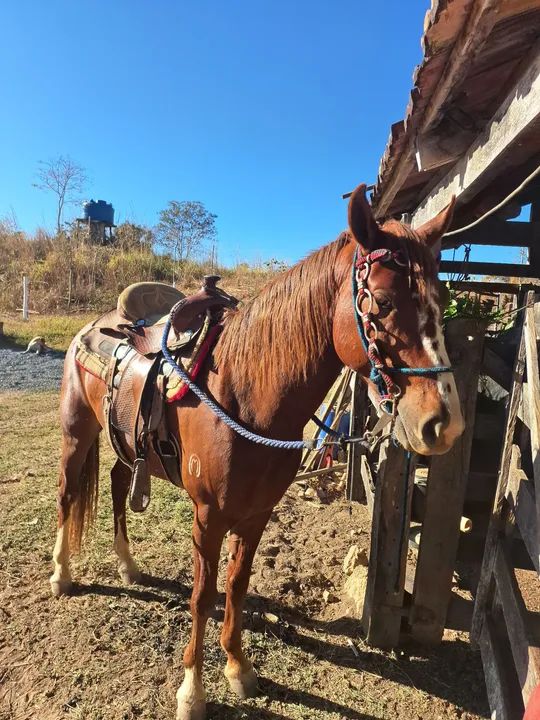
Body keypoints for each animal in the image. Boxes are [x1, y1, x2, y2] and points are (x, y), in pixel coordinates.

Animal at [50, 184, 464, 720]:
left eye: (441, 300)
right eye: (385, 301)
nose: (444, 423)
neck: (245, 394)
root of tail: (95, 325)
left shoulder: (256, 514)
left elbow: (238, 586)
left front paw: (238, 668)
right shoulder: (207, 516)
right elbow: (203, 595)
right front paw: (192, 691)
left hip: (125, 444)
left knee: (121, 489)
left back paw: (127, 564)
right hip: (76, 432)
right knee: (66, 494)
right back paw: (61, 574)